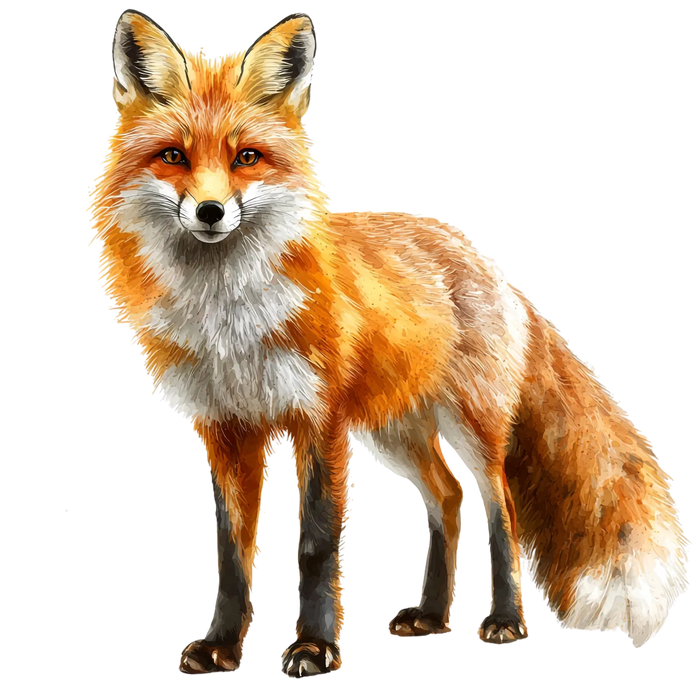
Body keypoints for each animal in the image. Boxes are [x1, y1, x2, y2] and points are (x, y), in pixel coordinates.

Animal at [86, 7, 692, 679]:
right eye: (173, 155)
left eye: (247, 157)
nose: (212, 211)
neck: (229, 320)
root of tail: (483, 255)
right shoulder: (225, 431)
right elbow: (231, 553)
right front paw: (220, 647)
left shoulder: (319, 422)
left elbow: (317, 544)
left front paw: (314, 647)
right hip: (395, 432)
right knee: (448, 498)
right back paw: (430, 616)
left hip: (469, 426)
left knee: (498, 506)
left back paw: (505, 621)